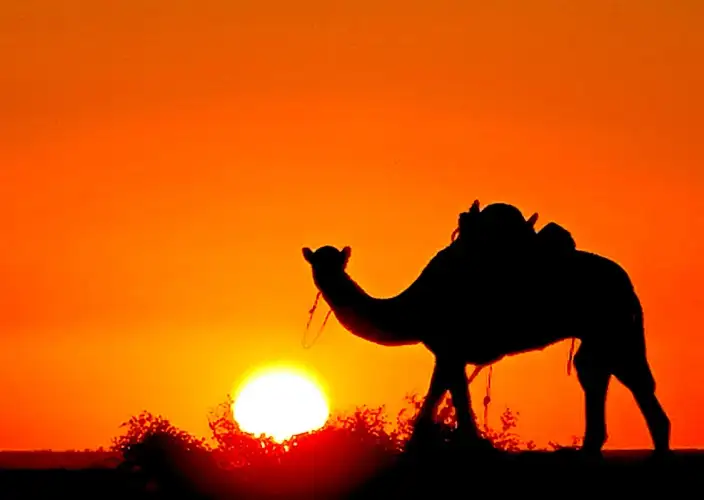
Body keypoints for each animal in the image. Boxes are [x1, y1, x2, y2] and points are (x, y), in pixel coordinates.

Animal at [301, 201, 671, 456]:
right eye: (318, 262)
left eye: (334, 261)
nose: (323, 275)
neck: (415, 304)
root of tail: (625, 279)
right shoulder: (447, 351)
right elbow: (441, 394)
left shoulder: (450, 345)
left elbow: (453, 398)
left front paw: (469, 446)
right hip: (605, 330)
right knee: (603, 372)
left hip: (612, 324)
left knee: (622, 375)